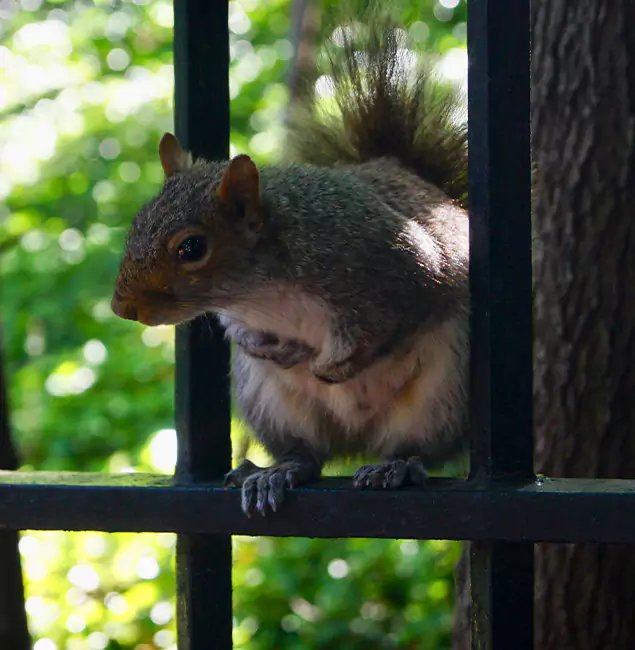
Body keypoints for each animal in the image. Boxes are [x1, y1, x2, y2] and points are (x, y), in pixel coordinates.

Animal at [111, 10, 469, 517]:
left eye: (191, 248)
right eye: (137, 223)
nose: (123, 308)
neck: (263, 292)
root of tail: (356, 437)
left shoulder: (390, 266)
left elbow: (388, 323)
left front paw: (331, 369)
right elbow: (240, 332)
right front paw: (269, 348)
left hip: (443, 394)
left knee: (414, 446)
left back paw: (396, 466)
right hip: (270, 405)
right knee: (306, 454)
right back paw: (276, 471)